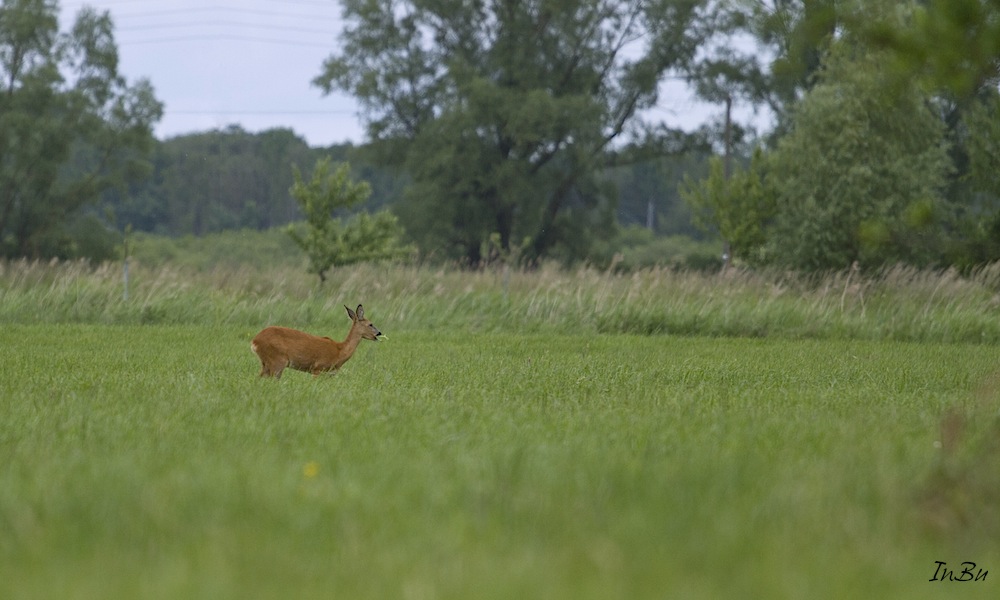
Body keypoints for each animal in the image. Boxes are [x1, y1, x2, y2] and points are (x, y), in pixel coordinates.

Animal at [250, 304, 382, 376]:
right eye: (370, 324)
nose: (379, 333)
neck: (340, 351)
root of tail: (254, 341)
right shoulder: (318, 368)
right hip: (277, 360)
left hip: (266, 363)